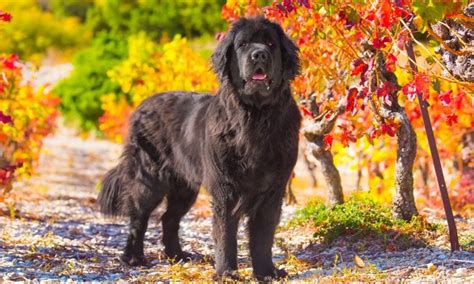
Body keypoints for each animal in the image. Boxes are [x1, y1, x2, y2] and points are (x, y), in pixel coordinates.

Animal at [98, 17, 302, 280]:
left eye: (270, 44)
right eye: (243, 44)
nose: (259, 54)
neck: (254, 117)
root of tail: (142, 105)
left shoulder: (272, 190)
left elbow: (264, 235)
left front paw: (266, 272)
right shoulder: (225, 189)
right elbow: (225, 234)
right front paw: (226, 273)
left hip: (184, 186)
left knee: (169, 218)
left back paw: (177, 256)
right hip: (148, 178)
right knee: (139, 217)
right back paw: (133, 257)